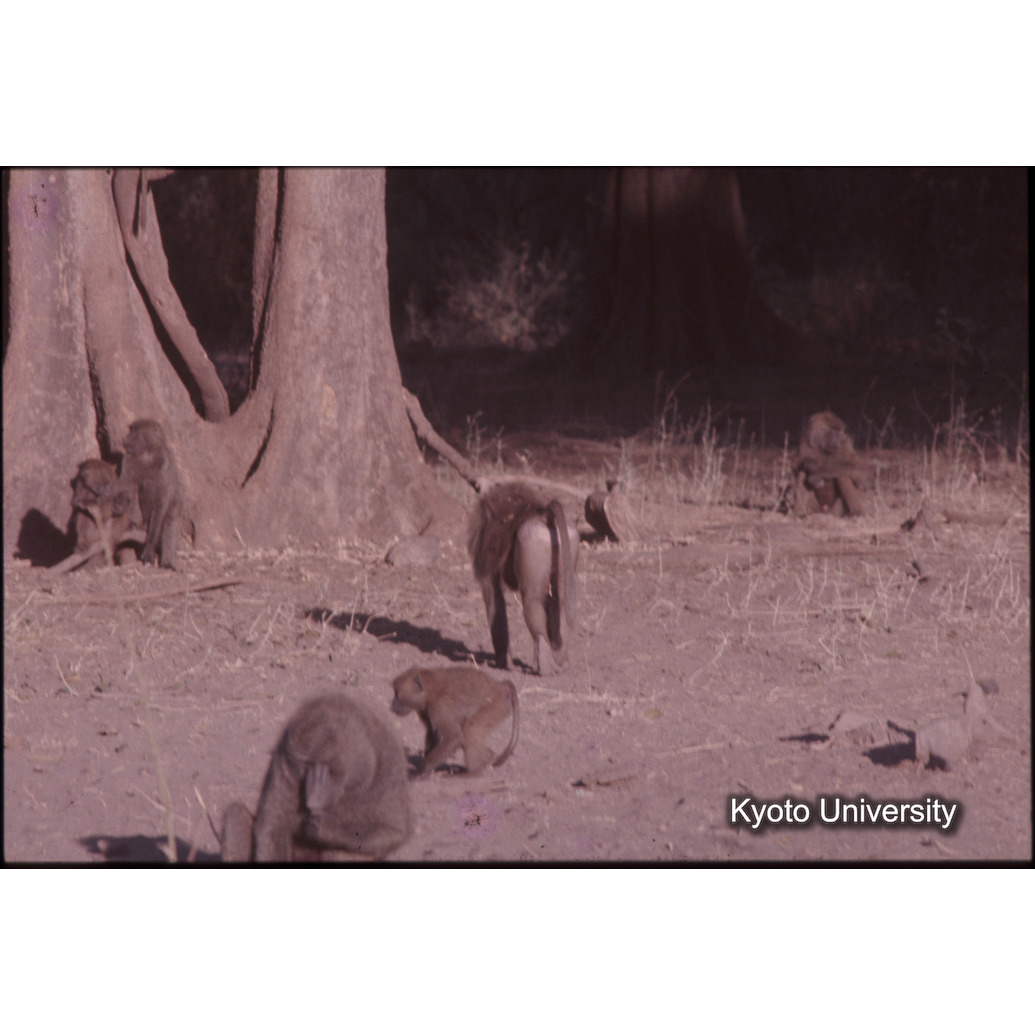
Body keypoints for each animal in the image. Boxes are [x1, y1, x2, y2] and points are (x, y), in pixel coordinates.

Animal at [121, 419, 184, 568]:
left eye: (133, 432)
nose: (124, 439)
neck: (147, 454)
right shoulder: (129, 461)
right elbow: (130, 492)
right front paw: (132, 523)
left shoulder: (165, 466)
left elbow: (160, 506)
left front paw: (149, 549)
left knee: (170, 521)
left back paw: (168, 562)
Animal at [226, 694, 412, 862]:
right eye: (307, 764)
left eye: (328, 766)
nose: (314, 800)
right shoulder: (284, 762)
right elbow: (272, 827)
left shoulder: (389, 762)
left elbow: (392, 831)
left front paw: (328, 829)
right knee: (235, 813)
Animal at [390, 666, 519, 777]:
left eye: (397, 693)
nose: (391, 705)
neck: (432, 689)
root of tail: (499, 686)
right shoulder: (425, 709)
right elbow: (432, 733)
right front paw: (426, 770)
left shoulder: (439, 707)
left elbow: (454, 737)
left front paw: (419, 772)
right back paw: (488, 757)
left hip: (496, 707)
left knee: (469, 730)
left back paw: (472, 773)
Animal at [468, 481, 580, 675]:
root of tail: (545, 515)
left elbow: (493, 598)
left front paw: (502, 662)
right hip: (566, 542)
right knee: (561, 604)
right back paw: (560, 661)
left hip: (533, 542)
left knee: (532, 600)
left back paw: (545, 664)